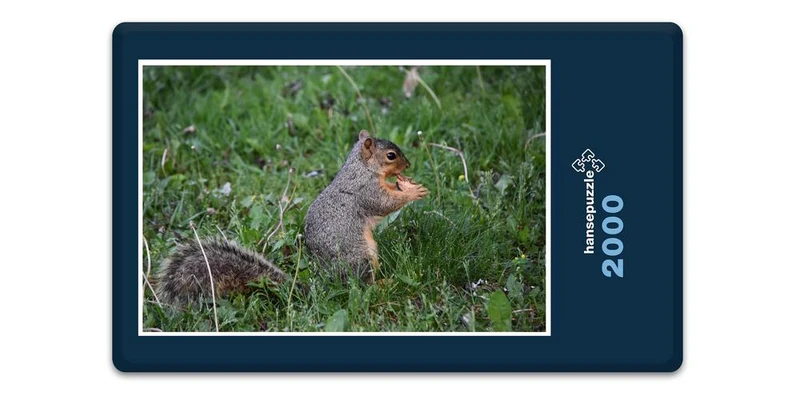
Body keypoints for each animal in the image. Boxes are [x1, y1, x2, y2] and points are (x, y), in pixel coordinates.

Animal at [154, 129, 428, 305]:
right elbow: (384, 203)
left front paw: (407, 183)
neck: (361, 167)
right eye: (391, 155)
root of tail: (327, 282)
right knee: (360, 286)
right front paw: (412, 191)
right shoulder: (365, 190)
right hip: (360, 257)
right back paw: (384, 284)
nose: (408, 165)